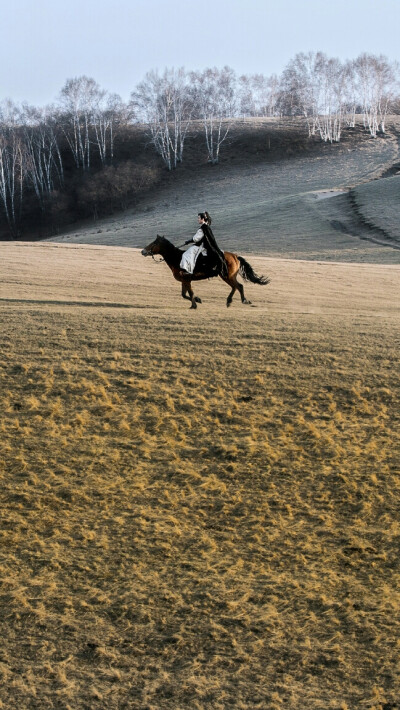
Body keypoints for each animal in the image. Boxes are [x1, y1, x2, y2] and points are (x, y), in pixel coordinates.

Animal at [142, 236, 270, 308]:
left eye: (154, 243)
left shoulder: (186, 280)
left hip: (228, 276)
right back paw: (230, 301)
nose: (143, 251)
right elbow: (184, 294)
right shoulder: (184, 280)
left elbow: (190, 293)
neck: (177, 258)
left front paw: (194, 305)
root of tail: (235, 256)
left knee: (238, 286)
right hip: (227, 276)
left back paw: (242, 301)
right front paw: (198, 300)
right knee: (236, 287)